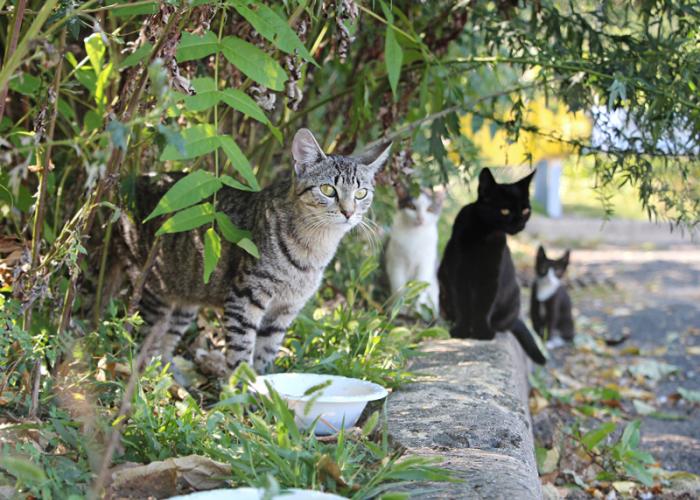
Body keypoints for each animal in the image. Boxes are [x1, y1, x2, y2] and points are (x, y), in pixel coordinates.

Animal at [117, 129, 392, 378]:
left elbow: (266, 351)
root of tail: (139, 179)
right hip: (154, 291)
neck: (314, 250)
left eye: (361, 193)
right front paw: (244, 389)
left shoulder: (285, 310)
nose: (348, 212)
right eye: (327, 189)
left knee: (165, 343)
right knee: (144, 344)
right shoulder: (245, 296)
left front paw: (264, 385)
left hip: (186, 296)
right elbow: (242, 349)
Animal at [438, 167, 548, 364]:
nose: (520, 223)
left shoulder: (490, 277)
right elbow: (463, 304)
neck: (484, 234)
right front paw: (461, 330)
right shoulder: (458, 275)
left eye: (525, 210)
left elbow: (484, 305)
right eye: (504, 210)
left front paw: (482, 332)